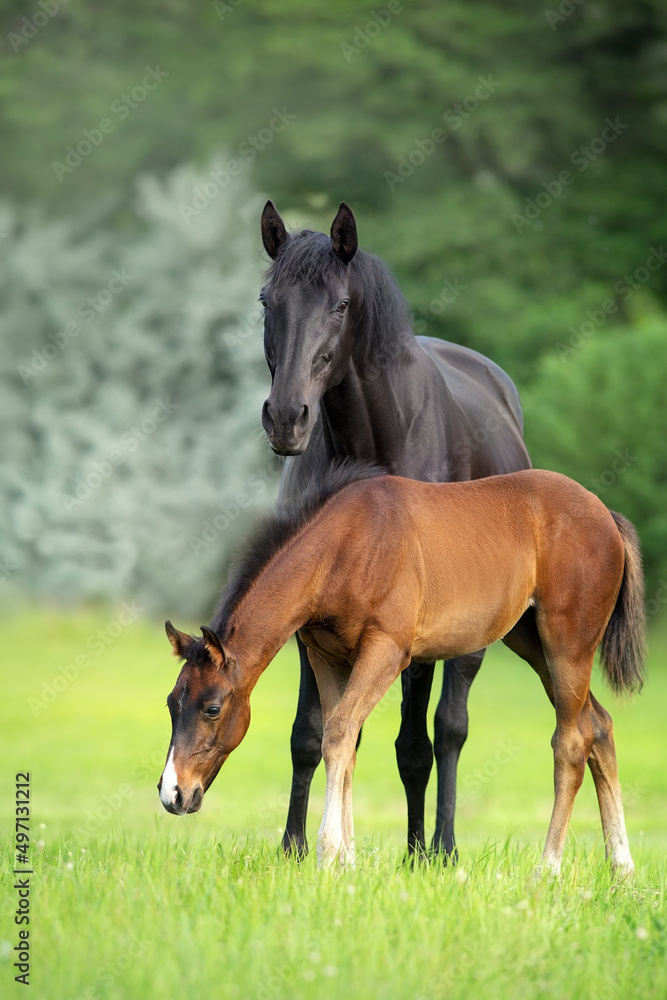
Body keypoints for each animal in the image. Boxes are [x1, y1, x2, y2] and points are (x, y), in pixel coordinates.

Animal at [159, 464, 644, 872]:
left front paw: (329, 855)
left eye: (212, 709)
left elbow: (339, 733)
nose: (172, 793)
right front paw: (349, 860)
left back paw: (548, 870)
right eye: (170, 704)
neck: (345, 547)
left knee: (571, 742)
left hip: (567, 646)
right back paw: (621, 868)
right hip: (532, 643)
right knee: (599, 726)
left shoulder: (388, 650)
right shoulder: (327, 657)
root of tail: (606, 515)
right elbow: (343, 740)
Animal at [258, 199, 528, 856]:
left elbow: (415, 746)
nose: (286, 418)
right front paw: (295, 847)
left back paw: (439, 846)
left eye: (340, 305)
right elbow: (315, 735)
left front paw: (417, 853)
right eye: (266, 301)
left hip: (464, 638)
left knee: (448, 729)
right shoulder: (311, 616)